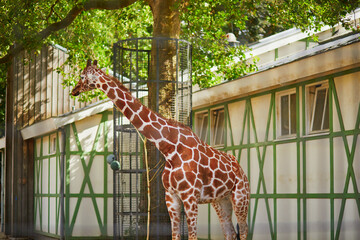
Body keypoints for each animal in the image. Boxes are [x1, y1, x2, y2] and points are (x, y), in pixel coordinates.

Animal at [71, 59, 249, 239]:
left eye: (82, 76)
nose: (74, 90)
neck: (169, 148)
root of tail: (241, 169)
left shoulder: (190, 197)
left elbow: (192, 236)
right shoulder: (171, 197)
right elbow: (175, 235)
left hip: (240, 197)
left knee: (243, 230)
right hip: (220, 200)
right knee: (230, 232)